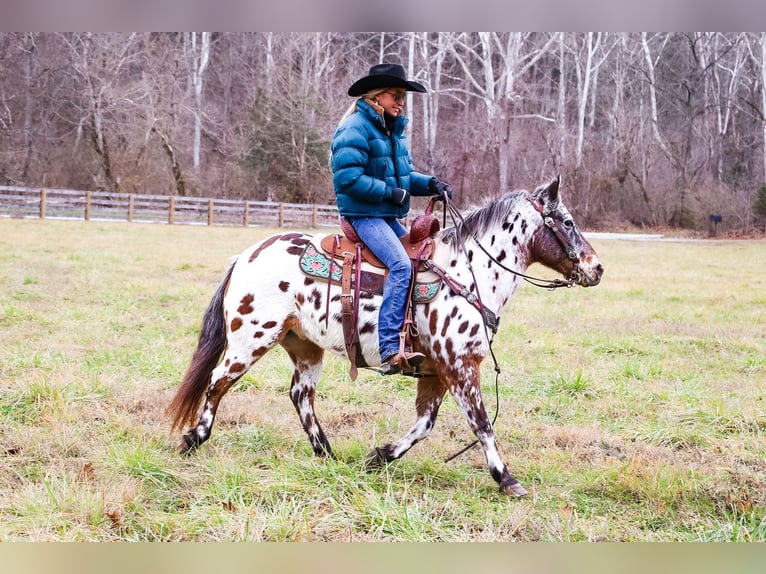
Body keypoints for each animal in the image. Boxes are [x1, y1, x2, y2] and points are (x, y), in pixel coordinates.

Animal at [165, 178, 604, 498]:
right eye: (567, 222)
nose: (597, 268)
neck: (467, 273)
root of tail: (246, 256)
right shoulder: (459, 365)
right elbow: (481, 423)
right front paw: (506, 479)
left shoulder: (436, 371)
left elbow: (425, 424)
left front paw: (379, 457)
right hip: (251, 339)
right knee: (217, 382)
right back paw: (193, 439)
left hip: (304, 347)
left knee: (300, 395)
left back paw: (327, 454)